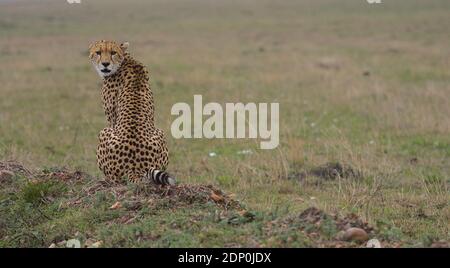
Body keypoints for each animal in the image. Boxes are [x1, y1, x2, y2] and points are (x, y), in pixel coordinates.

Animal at [89, 39, 176, 185]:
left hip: (104, 132)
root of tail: (134, 168)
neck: (125, 60)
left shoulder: (112, 119)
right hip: (161, 134)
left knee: (113, 178)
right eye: (98, 52)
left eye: (113, 52)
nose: (105, 64)